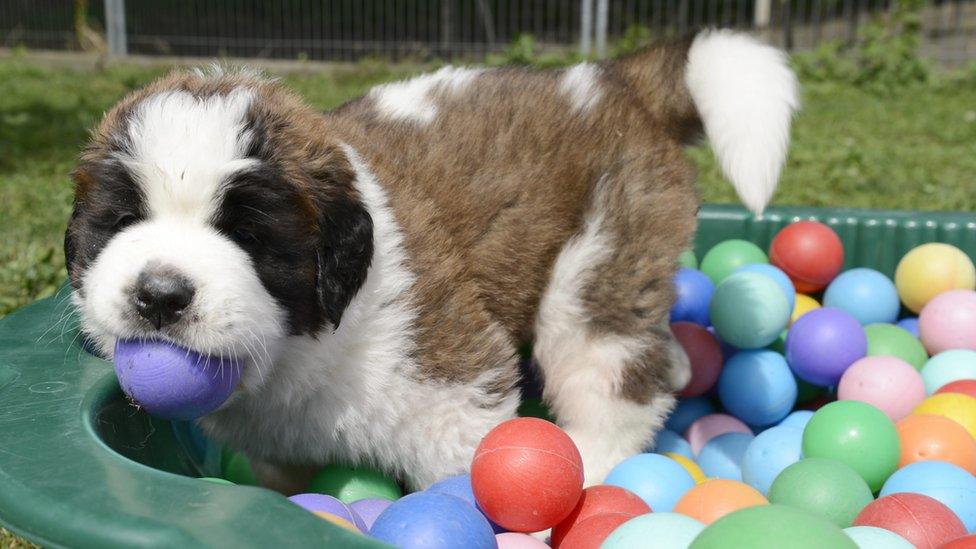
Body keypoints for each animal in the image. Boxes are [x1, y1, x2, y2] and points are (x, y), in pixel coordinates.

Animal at [65, 30, 796, 490]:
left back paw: (593, 468)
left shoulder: (452, 385)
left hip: (601, 256)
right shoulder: (276, 449)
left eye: (247, 234)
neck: (296, 352)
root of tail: (609, 79)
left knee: (611, 372)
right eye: (123, 221)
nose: (161, 293)